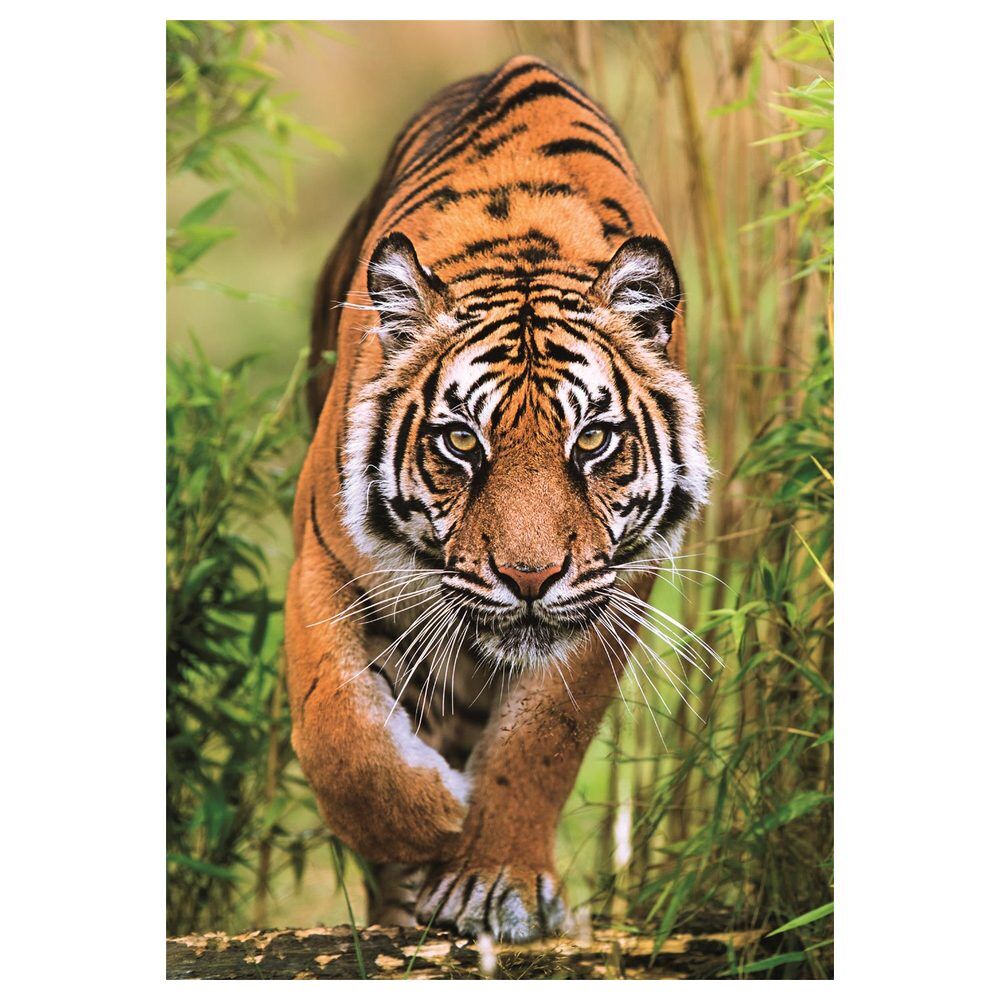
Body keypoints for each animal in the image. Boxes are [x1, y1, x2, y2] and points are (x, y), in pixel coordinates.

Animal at [285, 55, 711, 943]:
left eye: (593, 440)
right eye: (460, 442)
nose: (528, 578)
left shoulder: (614, 588)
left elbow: (542, 737)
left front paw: (493, 880)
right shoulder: (322, 559)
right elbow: (337, 727)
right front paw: (427, 820)